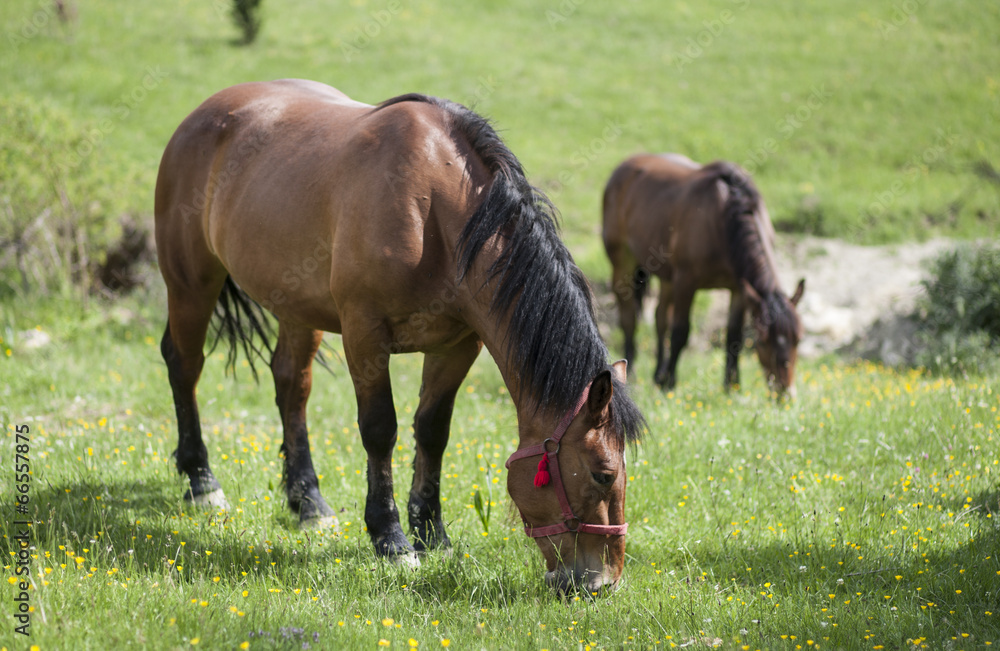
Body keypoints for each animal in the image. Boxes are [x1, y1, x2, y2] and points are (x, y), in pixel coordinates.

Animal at [154, 79, 645, 594]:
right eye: (603, 474)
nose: (602, 581)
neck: (433, 212)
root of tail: (204, 114)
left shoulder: (457, 344)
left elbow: (432, 430)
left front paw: (431, 532)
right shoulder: (364, 334)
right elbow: (379, 430)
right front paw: (390, 539)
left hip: (296, 309)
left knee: (291, 386)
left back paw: (308, 503)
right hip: (191, 284)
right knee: (184, 367)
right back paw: (201, 481)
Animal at [602, 153, 805, 395]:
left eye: (798, 340)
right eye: (762, 342)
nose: (785, 392)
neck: (723, 219)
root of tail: (624, 166)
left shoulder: (739, 289)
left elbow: (734, 336)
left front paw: (731, 385)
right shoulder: (685, 282)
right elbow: (680, 332)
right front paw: (670, 382)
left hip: (666, 278)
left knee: (660, 317)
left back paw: (658, 374)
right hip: (623, 264)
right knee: (629, 318)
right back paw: (631, 373)